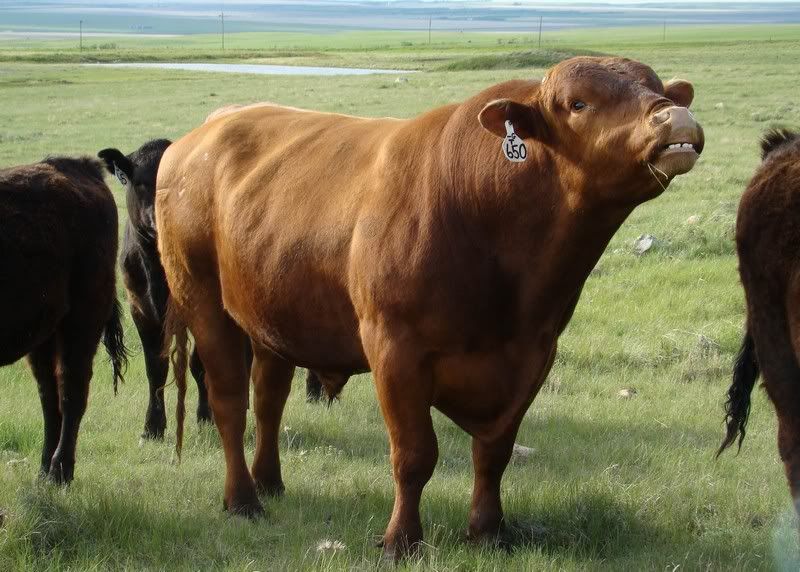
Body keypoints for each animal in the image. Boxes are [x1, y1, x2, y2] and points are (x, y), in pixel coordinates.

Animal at [0, 156, 127, 483]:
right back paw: (44, 471)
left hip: (82, 321)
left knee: (72, 391)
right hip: (43, 334)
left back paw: (60, 472)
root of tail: (79, 166)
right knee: (49, 396)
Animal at [98, 140, 327, 439]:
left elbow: (202, 366)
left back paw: (316, 393)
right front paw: (152, 428)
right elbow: (156, 369)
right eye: (137, 182)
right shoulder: (142, 311)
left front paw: (207, 417)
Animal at [156, 56, 704, 558]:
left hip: (271, 314)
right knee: (230, 403)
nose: (674, 118)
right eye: (578, 103)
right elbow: (415, 455)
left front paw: (488, 531)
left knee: (269, 399)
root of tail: (203, 133)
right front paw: (401, 540)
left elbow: (494, 452)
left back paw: (269, 482)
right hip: (202, 301)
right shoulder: (395, 349)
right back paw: (243, 499)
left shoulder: (535, 353)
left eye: (658, 87)